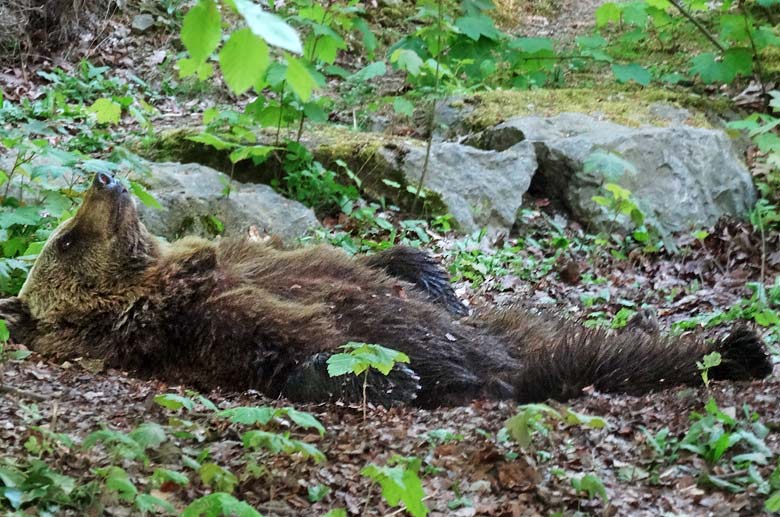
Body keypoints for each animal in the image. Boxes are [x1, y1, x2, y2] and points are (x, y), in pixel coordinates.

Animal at [0, 173, 772, 408]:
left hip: (512, 330)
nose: (105, 177)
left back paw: (740, 346)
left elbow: (342, 258)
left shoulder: (249, 253)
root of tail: (511, 367)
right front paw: (383, 378)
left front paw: (427, 270)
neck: (164, 273)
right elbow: (271, 346)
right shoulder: (174, 329)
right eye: (64, 240)